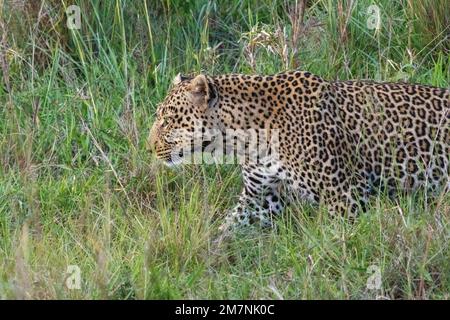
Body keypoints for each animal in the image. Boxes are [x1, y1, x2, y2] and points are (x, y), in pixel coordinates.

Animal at [149, 70, 450, 235]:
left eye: (168, 120)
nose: (149, 147)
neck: (243, 136)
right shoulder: (260, 198)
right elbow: (228, 227)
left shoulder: (346, 196)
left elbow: (339, 239)